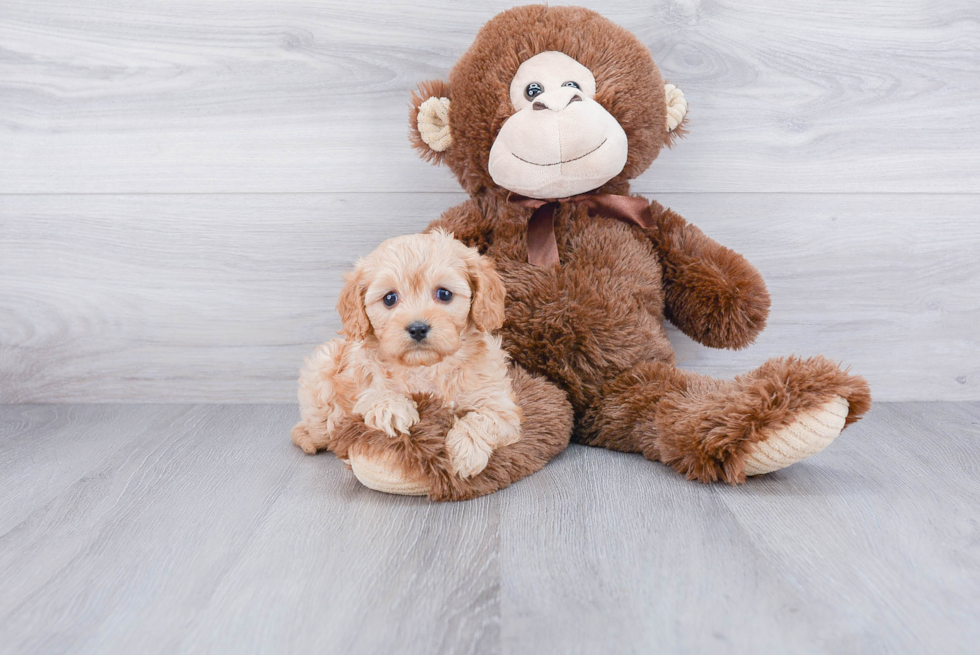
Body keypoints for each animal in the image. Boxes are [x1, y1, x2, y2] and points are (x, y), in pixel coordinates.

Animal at [290, 229, 520, 476]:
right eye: (390, 298)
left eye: (444, 294)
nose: (417, 328)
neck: (426, 367)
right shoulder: (361, 382)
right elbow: (372, 395)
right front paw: (392, 410)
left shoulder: (501, 404)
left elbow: (486, 417)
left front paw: (466, 449)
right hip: (321, 366)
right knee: (316, 427)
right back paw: (308, 439)